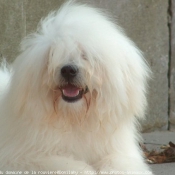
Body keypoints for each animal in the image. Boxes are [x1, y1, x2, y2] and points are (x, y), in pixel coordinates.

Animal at [0, 1, 153, 175]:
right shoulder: (19, 158)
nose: (68, 70)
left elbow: (118, 163)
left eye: (85, 55)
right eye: (53, 54)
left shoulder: (120, 152)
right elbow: (65, 165)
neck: (74, 118)